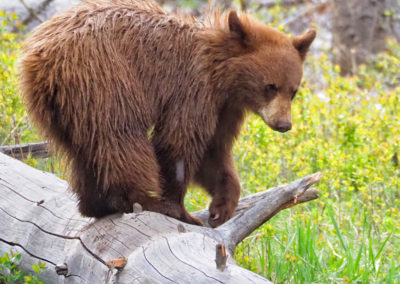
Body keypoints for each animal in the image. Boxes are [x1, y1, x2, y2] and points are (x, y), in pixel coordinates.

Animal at [19, 0, 316, 226]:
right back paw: (141, 199)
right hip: (104, 77)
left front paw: (221, 208)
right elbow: (179, 142)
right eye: (270, 86)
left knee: (82, 150)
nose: (283, 124)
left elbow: (213, 152)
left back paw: (96, 205)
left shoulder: (224, 107)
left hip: (59, 105)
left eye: (294, 91)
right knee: (120, 136)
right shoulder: (193, 90)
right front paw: (180, 208)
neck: (223, 76)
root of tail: (43, 57)